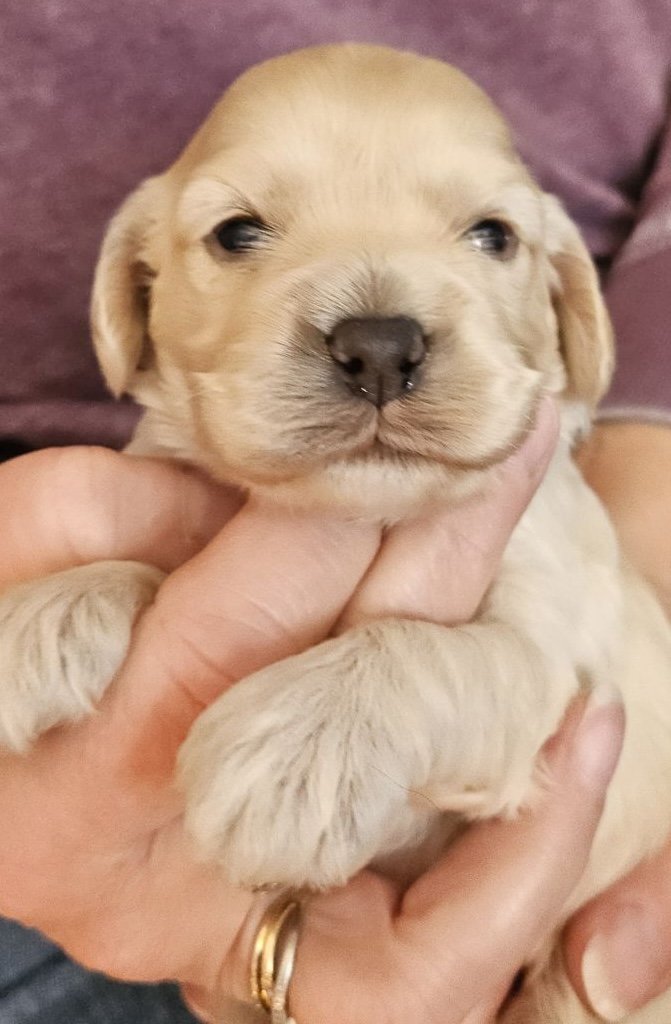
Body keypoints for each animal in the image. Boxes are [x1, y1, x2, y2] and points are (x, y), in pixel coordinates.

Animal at [1, 44, 671, 1019]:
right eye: (236, 233)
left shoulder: (562, 664)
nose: (381, 346)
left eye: (493, 236)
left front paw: (297, 748)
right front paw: (38, 614)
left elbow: (434, 649)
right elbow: (161, 562)